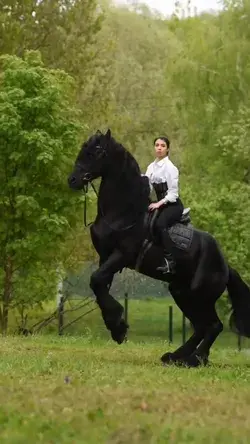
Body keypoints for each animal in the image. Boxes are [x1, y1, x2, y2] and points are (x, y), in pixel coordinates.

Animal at [67, 129, 250, 368]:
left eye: (97, 152)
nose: (72, 180)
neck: (123, 212)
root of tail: (226, 267)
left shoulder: (121, 255)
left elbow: (96, 280)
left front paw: (119, 328)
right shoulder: (105, 258)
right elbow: (99, 287)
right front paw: (116, 326)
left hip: (200, 295)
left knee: (213, 326)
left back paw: (195, 359)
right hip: (182, 293)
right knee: (203, 326)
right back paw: (177, 357)